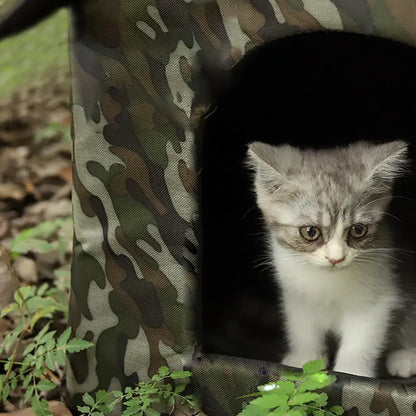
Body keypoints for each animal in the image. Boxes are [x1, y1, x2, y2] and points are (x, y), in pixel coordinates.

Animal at [247, 141, 416, 378]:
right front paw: (304, 359)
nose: (336, 258)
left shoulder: (377, 297)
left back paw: (406, 356)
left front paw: (352, 371)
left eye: (358, 230)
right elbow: (303, 327)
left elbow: (361, 340)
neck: (327, 280)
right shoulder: (295, 293)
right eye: (310, 232)